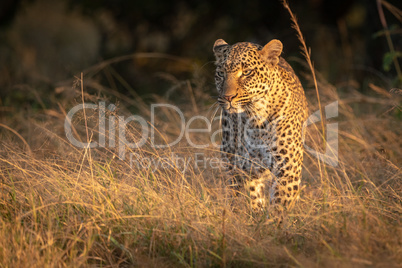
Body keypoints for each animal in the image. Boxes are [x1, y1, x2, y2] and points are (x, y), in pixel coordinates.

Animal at [214, 38, 308, 215]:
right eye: (221, 73)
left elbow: (280, 203)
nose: (227, 97)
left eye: (247, 72)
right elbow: (252, 200)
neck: (255, 119)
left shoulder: (287, 167)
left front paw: (273, 221)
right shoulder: (243, 168)